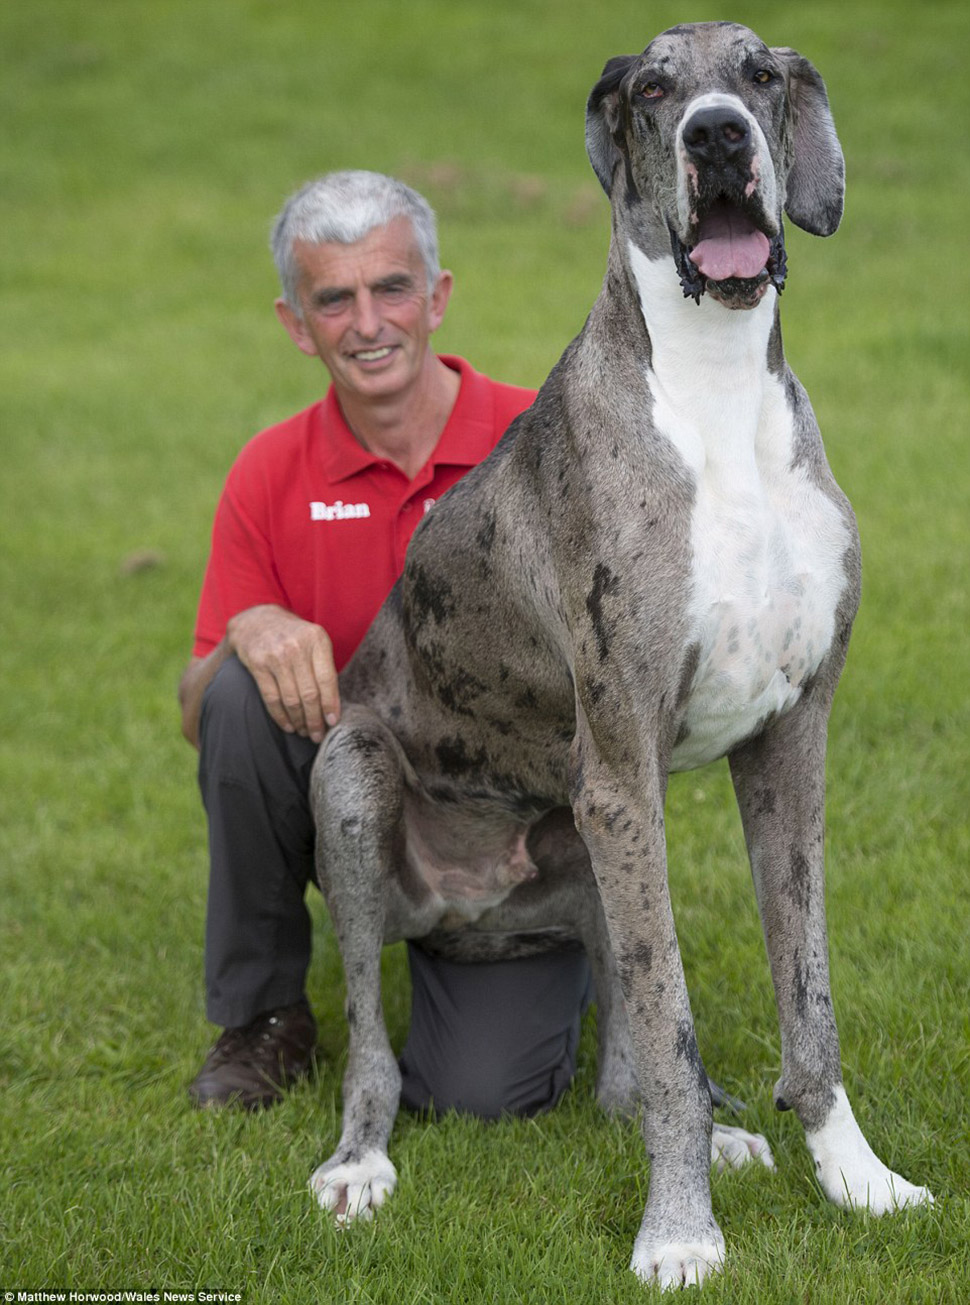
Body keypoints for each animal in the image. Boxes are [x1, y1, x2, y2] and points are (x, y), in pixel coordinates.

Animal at [306, 17, 929, 1284]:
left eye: (759, 75)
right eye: (650, 88)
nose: (718, 138)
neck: (714, 390)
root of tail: (464, 909)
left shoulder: (792, 744)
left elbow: (806, 1000)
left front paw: (855, 1177)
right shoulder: (622, 763)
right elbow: (671, 1014)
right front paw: (680, 1229)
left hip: (590, 846)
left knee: (621, 1067)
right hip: (349, 784)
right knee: (370, 1037)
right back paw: (360, 1162)